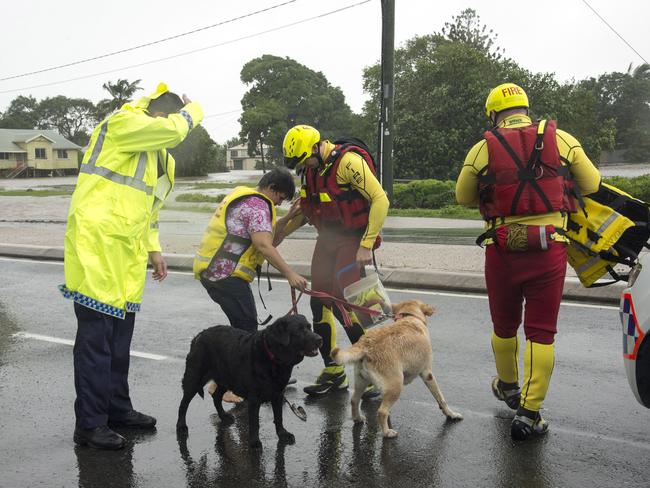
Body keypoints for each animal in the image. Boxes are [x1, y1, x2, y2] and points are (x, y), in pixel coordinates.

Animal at [176, 314, 320, 448]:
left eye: (309, 327)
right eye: (299, 330)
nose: (320, 339)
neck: (273, 358)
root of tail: (198, 336)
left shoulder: (278, 394)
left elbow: (279, 417)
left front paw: (283, 434)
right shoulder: (254, 398)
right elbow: (255, 422)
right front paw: (254, 442)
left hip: (226, 378)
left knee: (216, 396)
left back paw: (223, 416)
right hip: (194, 378)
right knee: (183, 404)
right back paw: (181, 426)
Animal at [332, 300, 458, 436]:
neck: (410, 317)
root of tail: (365, 344)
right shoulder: (427, 373)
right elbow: (441, 398)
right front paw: (451, 414)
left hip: (362, 382)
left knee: (354, 400)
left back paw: (358, 418)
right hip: (395, 386)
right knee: (381, 412)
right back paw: (387, 432)